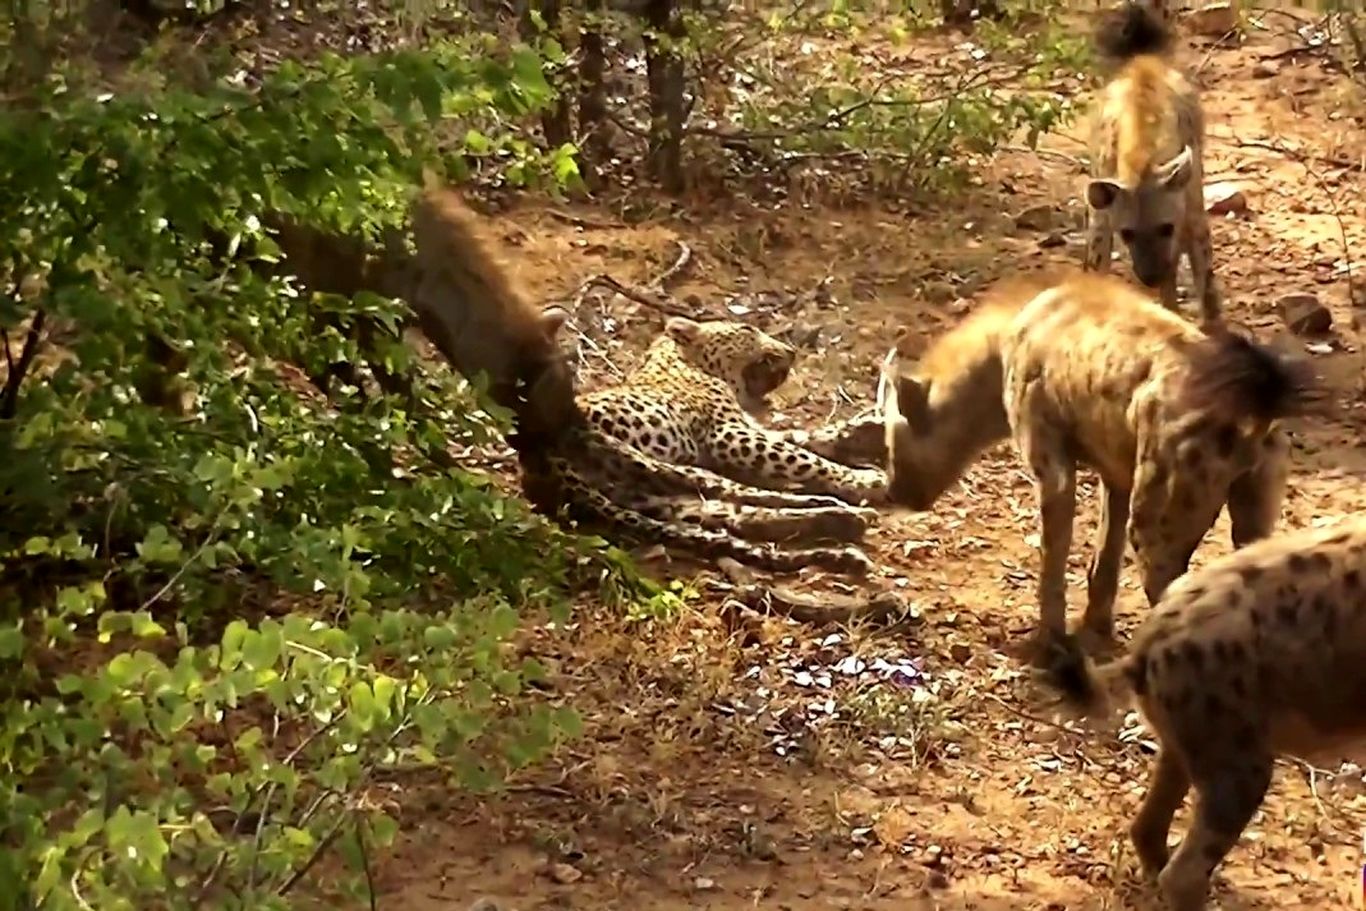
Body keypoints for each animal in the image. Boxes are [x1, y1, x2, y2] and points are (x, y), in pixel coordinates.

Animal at [879, 270, 1327, 663]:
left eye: (888, 447)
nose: (892, 492)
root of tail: (1253, 407)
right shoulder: (1118, 473)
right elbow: (1104, 556)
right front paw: (1095, 627)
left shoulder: (1050, 462)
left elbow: (1054, 556)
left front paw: (1048, 643)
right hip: (1254, 513)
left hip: (1158, 523)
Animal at [1081, 0, 1223, 327]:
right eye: (1127, 233)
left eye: (1165, 227)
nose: (1150, 276)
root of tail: (1142, 57)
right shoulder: (1102, 212)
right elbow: (1097, 260)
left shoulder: (1190, 206)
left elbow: (1205, 277)